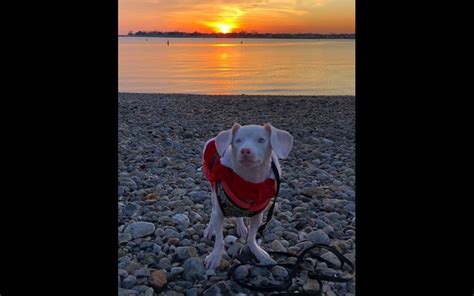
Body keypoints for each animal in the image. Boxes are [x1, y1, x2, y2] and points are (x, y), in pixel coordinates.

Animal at [200, 123, 292, 270]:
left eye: (261, 140)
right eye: (237, 140)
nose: (245, 150)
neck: (247, 182)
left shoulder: (258, 215)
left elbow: (252, 237)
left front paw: (257, 251)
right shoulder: (219, 211)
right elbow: (219, 239)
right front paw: (215, 256)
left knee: (239, 214)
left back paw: (241, 227)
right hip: (213, 193)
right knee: (213, 211)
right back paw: (209, 229)